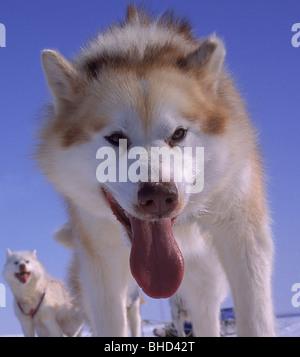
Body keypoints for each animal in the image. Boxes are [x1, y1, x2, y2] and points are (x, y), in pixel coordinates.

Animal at [36, 4, 276, 334]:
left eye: (178, 133)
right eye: (116, 138)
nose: (160, 195)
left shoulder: (243, 236)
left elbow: (256, 319)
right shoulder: (101, 266)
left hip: (204, 283)